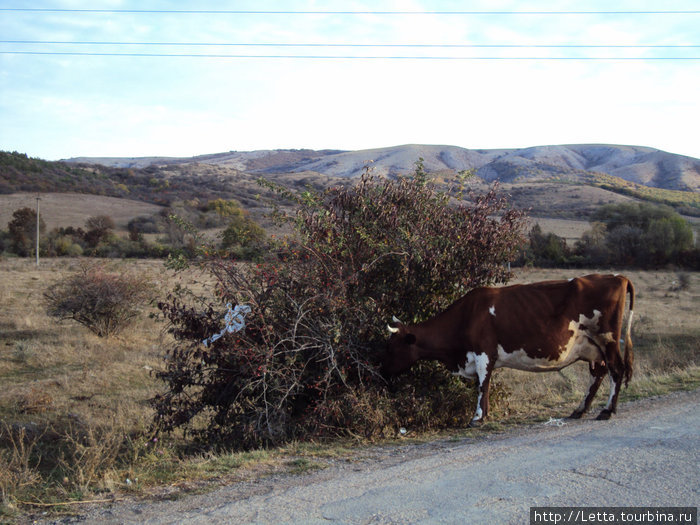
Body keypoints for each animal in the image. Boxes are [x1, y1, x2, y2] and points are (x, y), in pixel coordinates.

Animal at [382, 274, 636, 426]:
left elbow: (482, 385)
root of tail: (616, 276)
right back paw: (580, 410)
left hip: (607, 339)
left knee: (616, 370)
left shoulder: (483, 353)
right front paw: (484, 415)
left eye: (393, 346)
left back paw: (607, 411)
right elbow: (483, 384)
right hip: (593, 347)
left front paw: (478, 417)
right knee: (598, 375)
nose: (381, 369)